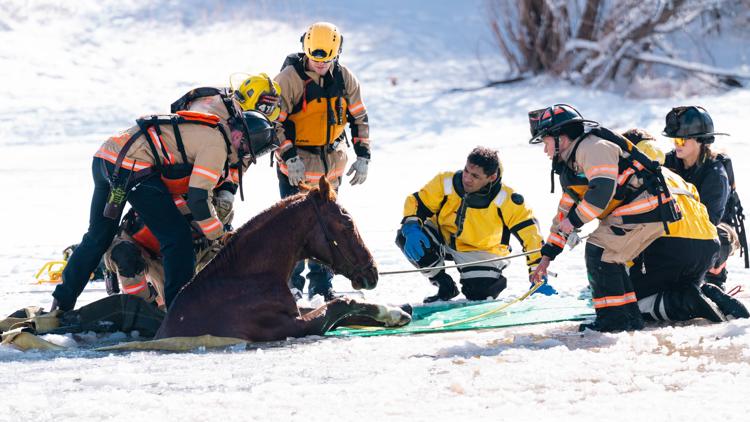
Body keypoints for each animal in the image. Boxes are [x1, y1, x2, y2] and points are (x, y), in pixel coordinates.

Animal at [154, 176, 412, 342]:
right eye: (347, 223)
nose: (372, 272)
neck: (245, 280)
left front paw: (398, 312)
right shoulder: (292, 326)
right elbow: (342, 305)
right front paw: (391, 312)